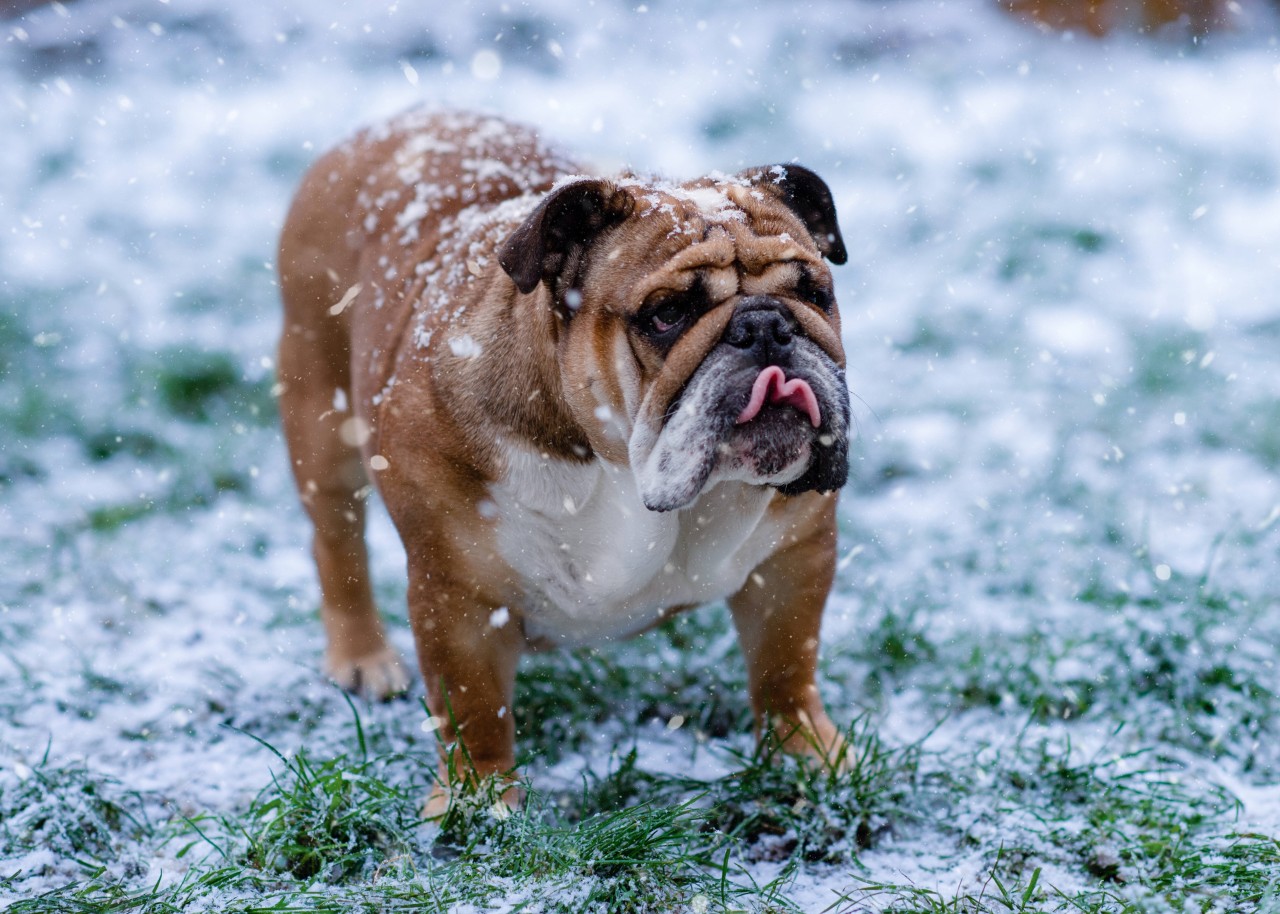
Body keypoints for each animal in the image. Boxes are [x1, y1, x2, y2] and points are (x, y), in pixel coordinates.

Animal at [279, 110, 855, 809]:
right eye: (668, 314)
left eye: (816, 293)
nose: (767, 327)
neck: (623, 469)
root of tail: (391, 124)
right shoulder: (456, 594)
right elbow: (472, 707)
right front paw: (479, 801)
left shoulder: (795, 557)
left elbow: (786, 667)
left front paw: (807, 757)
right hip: (322, 417)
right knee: (337, 543)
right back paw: (361, 657)